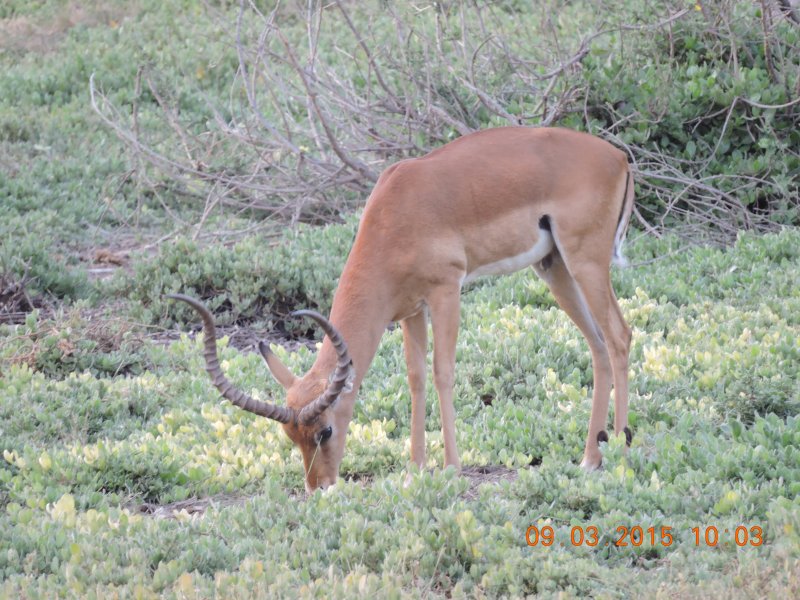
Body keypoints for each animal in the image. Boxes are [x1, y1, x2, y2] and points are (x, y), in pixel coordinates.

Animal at [170, 127, 635, 493]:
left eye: (326, 429)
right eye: (290, 435)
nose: (319, 487)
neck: (397, 210)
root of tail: (618, 157)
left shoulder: (446, 291)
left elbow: (443, 372)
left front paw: (451, 468)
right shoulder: (411, 310)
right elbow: (415, 379)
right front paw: (414, 471)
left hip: (586, 262)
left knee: (619, 335)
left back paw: (622, 448)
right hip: (554, 266)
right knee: (597, 345)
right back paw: (590, 458)